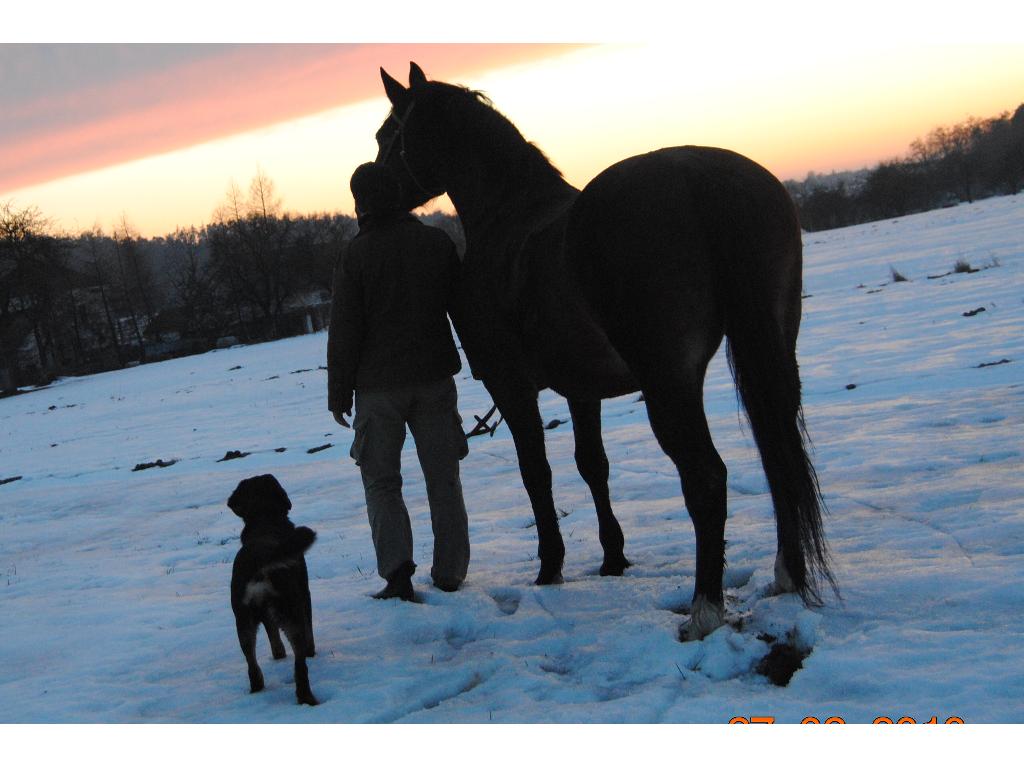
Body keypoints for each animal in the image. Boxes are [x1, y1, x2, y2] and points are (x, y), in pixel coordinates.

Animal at [229, 475, 317, 708]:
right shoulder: (304, 593)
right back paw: (308, 698)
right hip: (291, 609)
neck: (265, 520)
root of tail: (261, 561)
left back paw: (257, 689)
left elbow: (272, 634)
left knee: (251, 663)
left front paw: (278, 655)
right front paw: (312, 652)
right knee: (300, 665)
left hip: (243, 620)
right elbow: (310, 632)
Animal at [372, 60, 835, 638]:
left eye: (387, 136)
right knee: (777, 451)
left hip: (669, 384)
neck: (506, 218)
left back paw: (704, 609)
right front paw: (613, 558)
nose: (367, 189)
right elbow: (593, 464)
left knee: (707, 479)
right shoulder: (581, 387)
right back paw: (786, 574)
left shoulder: (513, 386)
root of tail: (702, 177)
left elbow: (537, 473)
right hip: (768, 354)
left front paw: (550, 567)